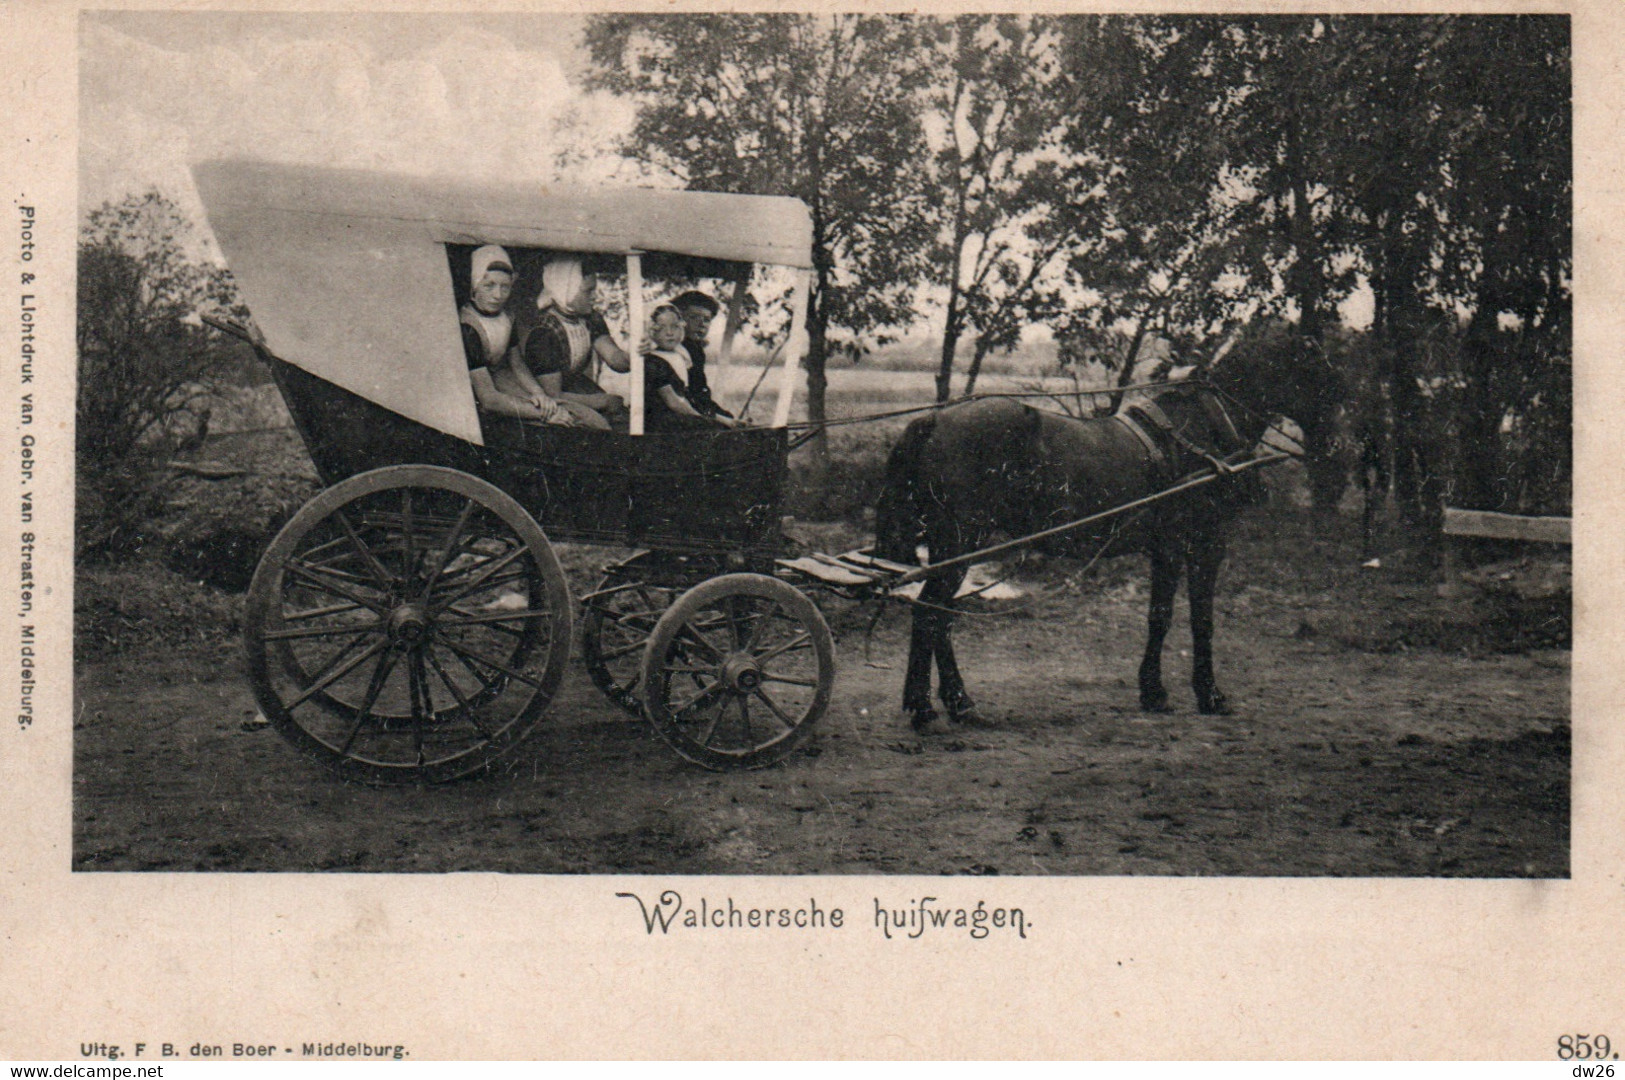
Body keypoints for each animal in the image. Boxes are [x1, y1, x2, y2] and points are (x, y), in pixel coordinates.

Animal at [877, 357, 1306, 727]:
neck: (1202, 429)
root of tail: (934, 419)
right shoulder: (1204, 543)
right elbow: (1202, 620)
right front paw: (1210, 695)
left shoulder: (1165, 549)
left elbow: (1159, 617)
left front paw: (1153, 692)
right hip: (961, 542)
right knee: (931, 612)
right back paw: (937, 706)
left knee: (939, 615)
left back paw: (946, 703)